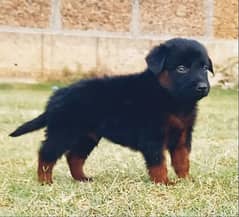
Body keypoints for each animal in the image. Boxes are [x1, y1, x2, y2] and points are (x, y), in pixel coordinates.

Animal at [10, 38, 214, 184]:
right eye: (181, 68)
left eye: (204, 67)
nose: (203, 87)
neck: (172, 98)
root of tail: (57, 95)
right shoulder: (152, 136)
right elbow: (158, 162)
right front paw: (164, 182)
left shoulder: (183, 135)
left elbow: (182, 160)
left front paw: (186, 180)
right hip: (63, 131)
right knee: (46, 154)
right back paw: (45, 181)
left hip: (87, 136)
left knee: (74, 157)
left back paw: (82, 179)